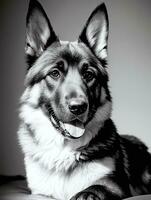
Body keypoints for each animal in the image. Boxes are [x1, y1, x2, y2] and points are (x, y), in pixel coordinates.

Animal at [18, 0, 151, 200]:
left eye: (88, 75)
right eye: (54, 73)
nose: (78, 107)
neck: (64, 150)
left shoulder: (114, 184)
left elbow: (95, 188)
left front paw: (86, 194)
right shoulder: (39, 193)